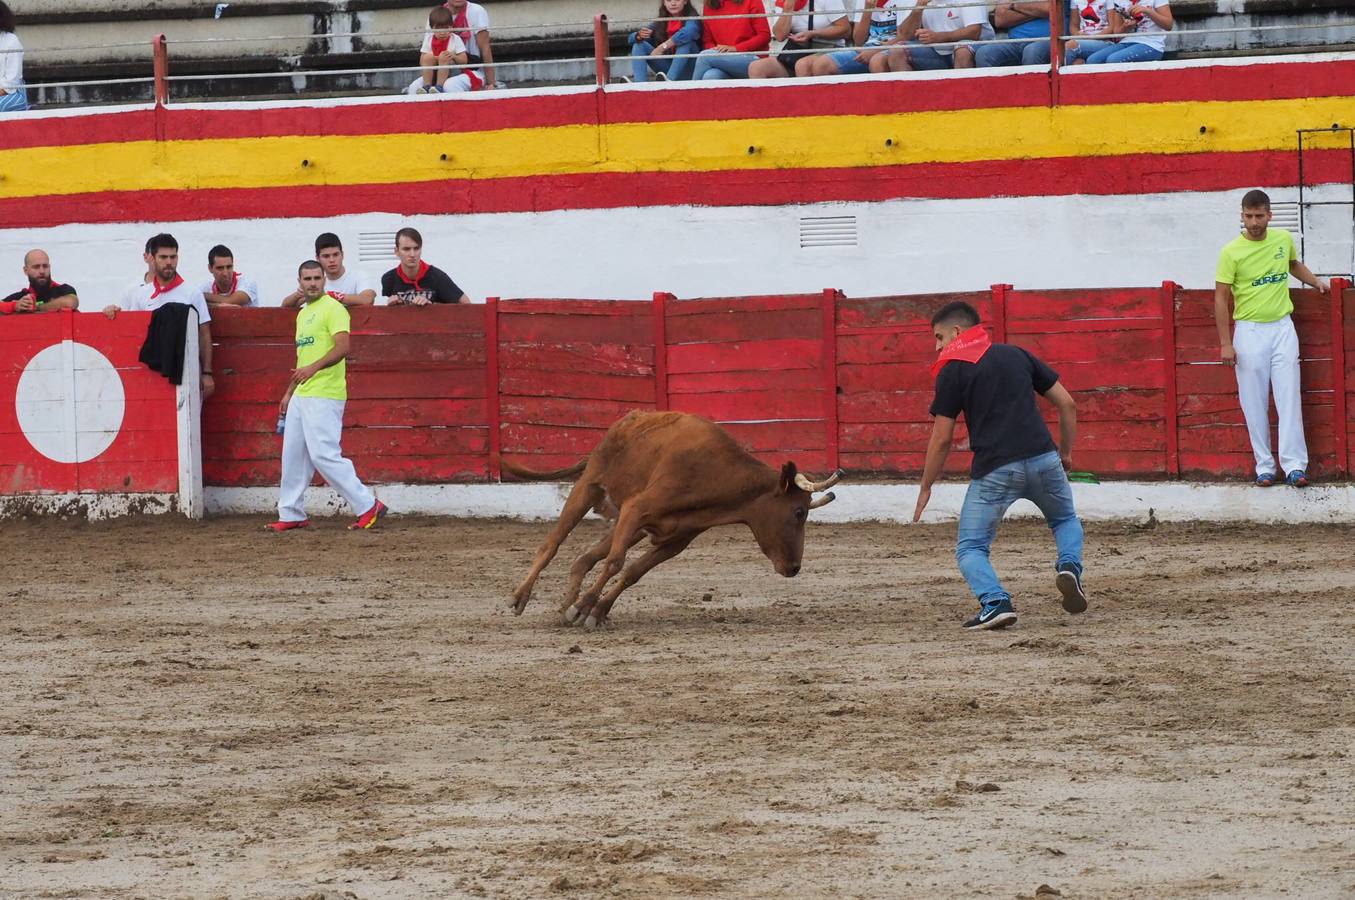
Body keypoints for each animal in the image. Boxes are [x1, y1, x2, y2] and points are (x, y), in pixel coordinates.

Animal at [504, 412, 840, 628]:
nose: (794, 568)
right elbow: (615, 562)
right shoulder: (636, 509)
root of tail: (630, 419)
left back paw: (565, 606)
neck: (717, 475)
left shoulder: (676, 540)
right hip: (589, 486)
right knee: (552, 544)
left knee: (584, 557)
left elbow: (634, 572)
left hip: (635, 526)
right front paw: (585, 607)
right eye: (799, 512)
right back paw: (521, 597)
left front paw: (595, 611)